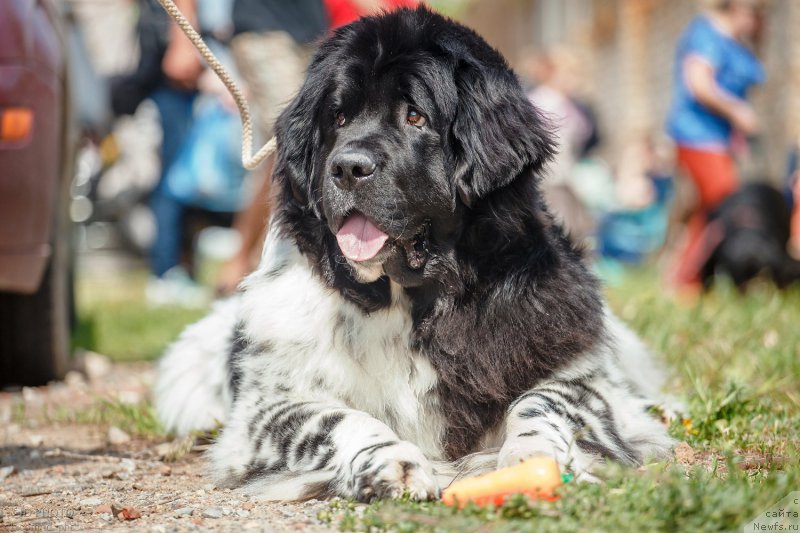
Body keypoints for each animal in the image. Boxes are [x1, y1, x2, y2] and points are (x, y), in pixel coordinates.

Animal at [155, 6, 668, 500]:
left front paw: (534, 457)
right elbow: (338, 419)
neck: (410, 299)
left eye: (415, 116)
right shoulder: (268, 407)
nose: (347, 167)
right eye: (337, 118)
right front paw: (391, 462)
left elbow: (541, 402)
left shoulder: (580, 373)